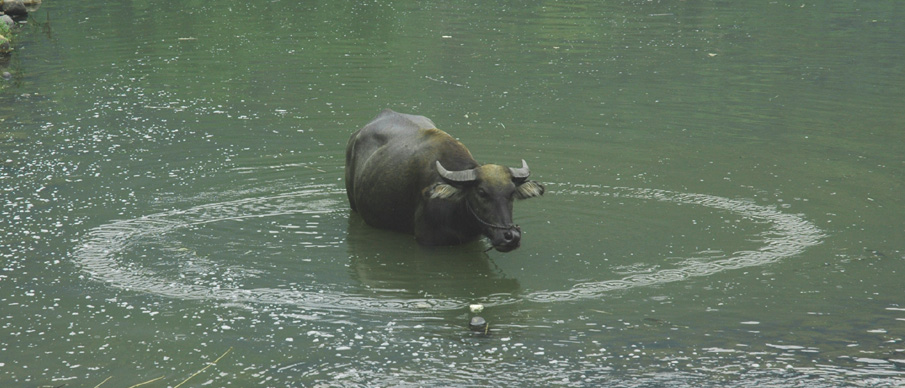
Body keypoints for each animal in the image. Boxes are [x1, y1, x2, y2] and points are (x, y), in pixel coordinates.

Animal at [344, 109, 544, 252]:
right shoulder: (427, 242)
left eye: (511, 193)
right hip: (354, 206)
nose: (511, 236)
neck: (459, 214)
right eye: (481, 192)